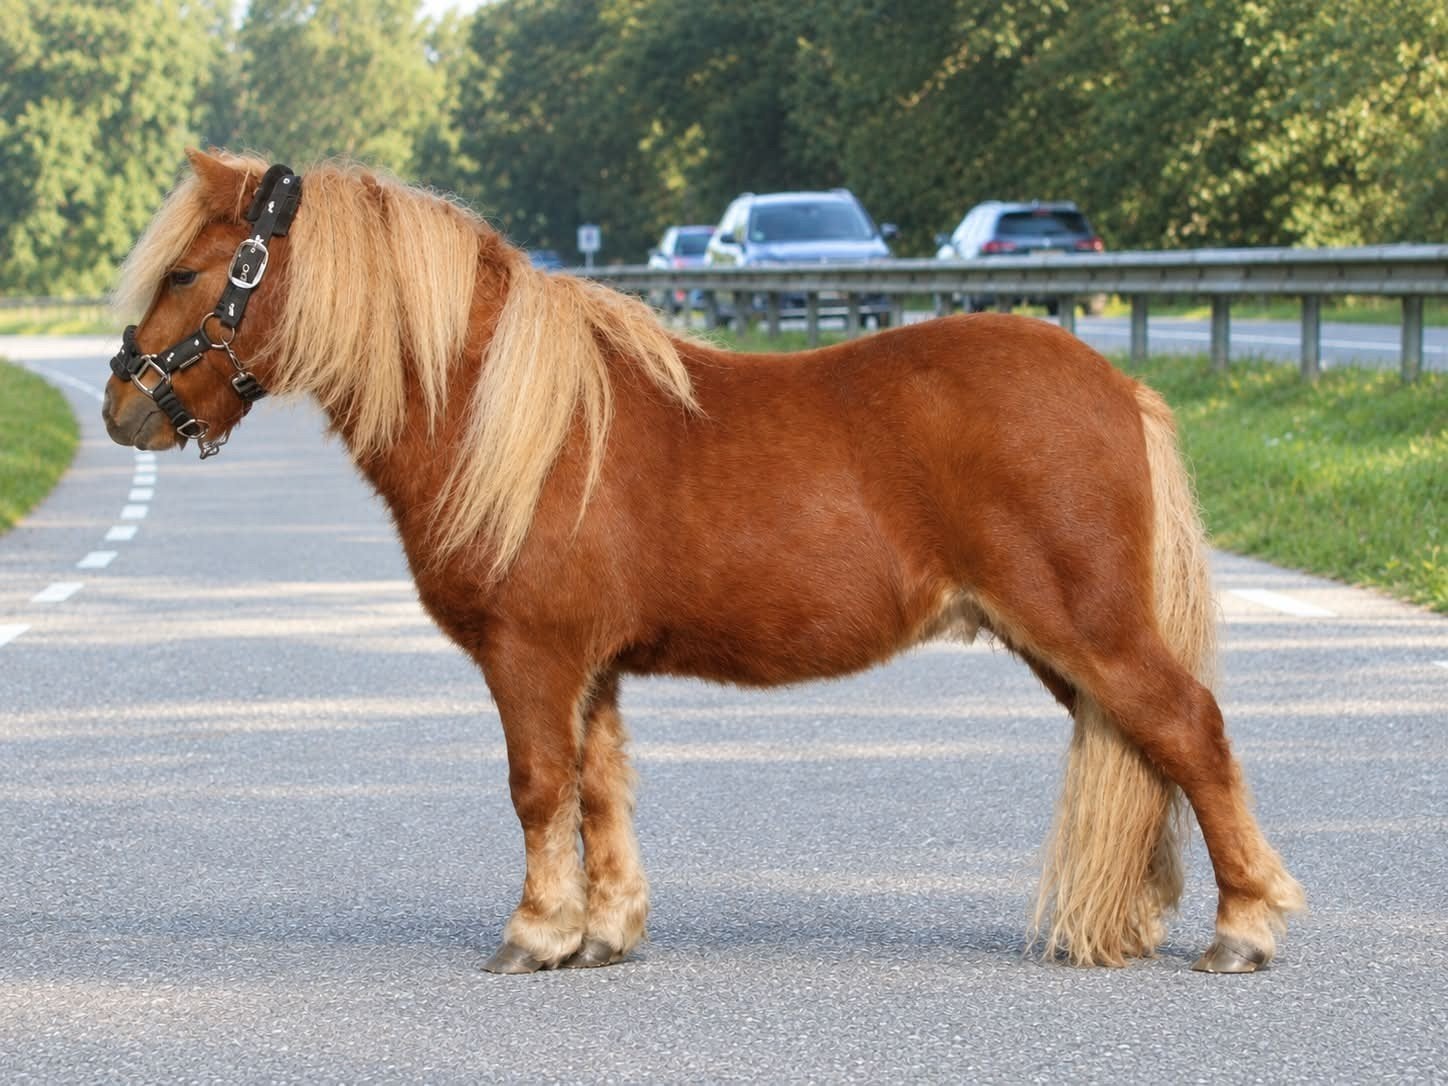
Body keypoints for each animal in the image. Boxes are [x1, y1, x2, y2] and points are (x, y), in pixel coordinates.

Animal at [102, 150, 1304, 974]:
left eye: (189, 272)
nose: (123, 407)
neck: (514, 423)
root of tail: (1116, 384)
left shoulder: (530, 658)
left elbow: (537, 789)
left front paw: (533, 934)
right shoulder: (589, 669)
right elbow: (599, 791)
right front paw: (602, 932)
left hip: (1087, 627)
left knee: (1187, 731)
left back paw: (1242, 927)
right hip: (1054, 642)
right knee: (1142, 747)